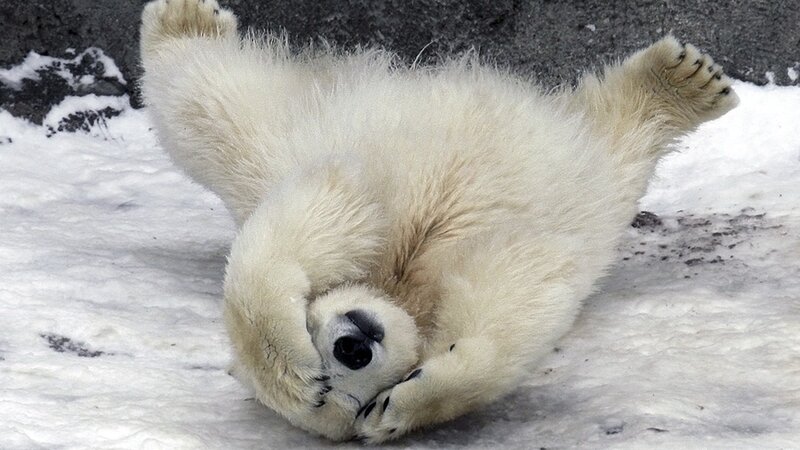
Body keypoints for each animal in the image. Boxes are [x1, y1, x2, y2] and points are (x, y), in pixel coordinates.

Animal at [139, 0, 738, 443]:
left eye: (318, 346)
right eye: (345, 399)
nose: (352, 345)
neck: (399, 283)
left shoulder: (355, 199)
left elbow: (321, 220)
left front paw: (289, 363)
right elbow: (510, 290)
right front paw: (411, 400)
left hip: (290, 136)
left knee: (214, 108)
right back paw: (682, 84)